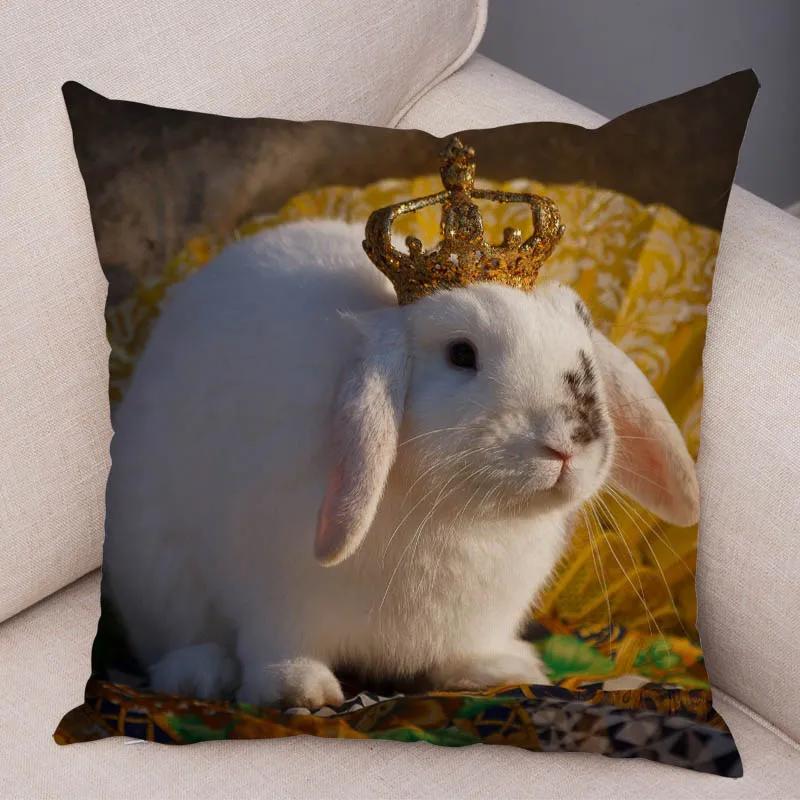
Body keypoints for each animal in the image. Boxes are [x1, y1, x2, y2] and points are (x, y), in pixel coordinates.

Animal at [104, 218, 699, 709]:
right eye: (462, 354)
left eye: (584, 351)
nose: (568, 444)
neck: (463, 513)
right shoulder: (273, 593)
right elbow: (278, 645)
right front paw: (299, 690)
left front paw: (496, 671)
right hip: (158, 576)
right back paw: (200, 673)